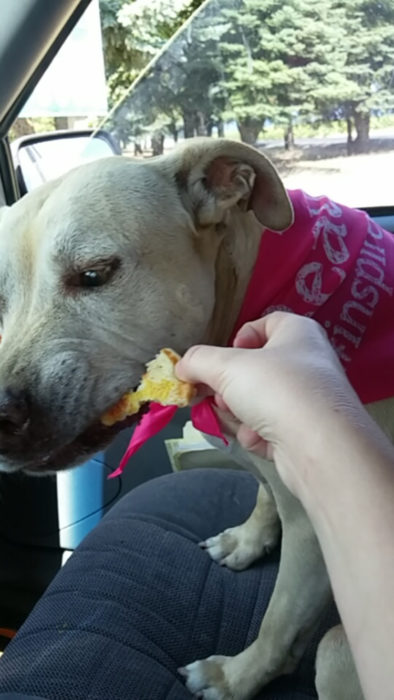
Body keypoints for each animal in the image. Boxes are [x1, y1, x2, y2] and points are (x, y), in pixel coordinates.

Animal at [0, 139, 390, 696]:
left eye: (95, 273)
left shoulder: (318, 529)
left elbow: (279, 621)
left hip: (337, 651)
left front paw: (235, 677)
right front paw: (247, 541)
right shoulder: (265, 466)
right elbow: (264, 496)